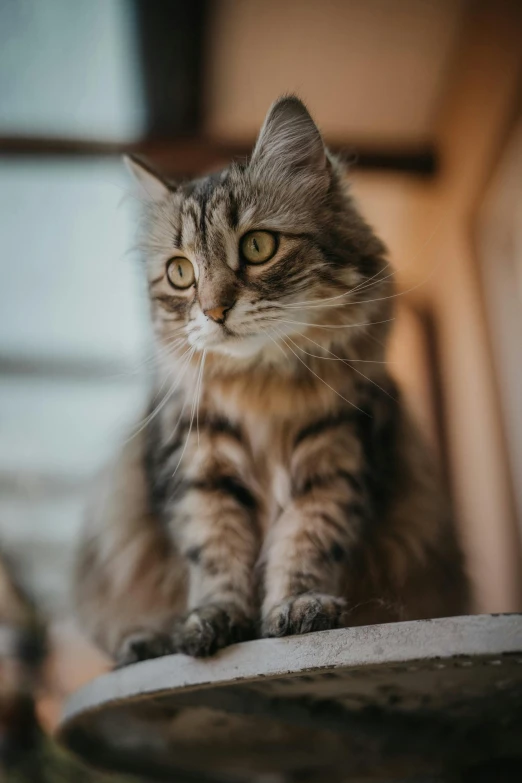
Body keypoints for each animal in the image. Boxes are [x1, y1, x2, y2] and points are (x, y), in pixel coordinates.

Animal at [74, 95, 468, 664]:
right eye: (180, 273)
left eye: (258, 246)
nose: (214, 310)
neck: (262, 388)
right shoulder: (200, 470)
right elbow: (215, 552)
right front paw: (212, 621)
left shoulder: (337, 461)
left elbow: (307, 540)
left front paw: (299, 607)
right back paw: (148, 643)